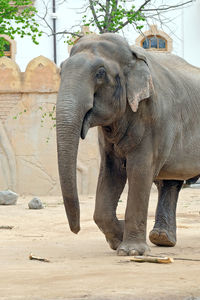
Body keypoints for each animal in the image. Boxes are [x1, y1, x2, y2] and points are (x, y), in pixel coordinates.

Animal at [55, 34, 200, 256]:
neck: (133, 56)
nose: (76, 230)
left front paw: (132, 252)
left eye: (100, 73)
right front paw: (118, 240)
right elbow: (111, 172)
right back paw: (162, 239)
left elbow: (139, 170)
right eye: (61, 71)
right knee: (170, 181)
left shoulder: (154, 117)